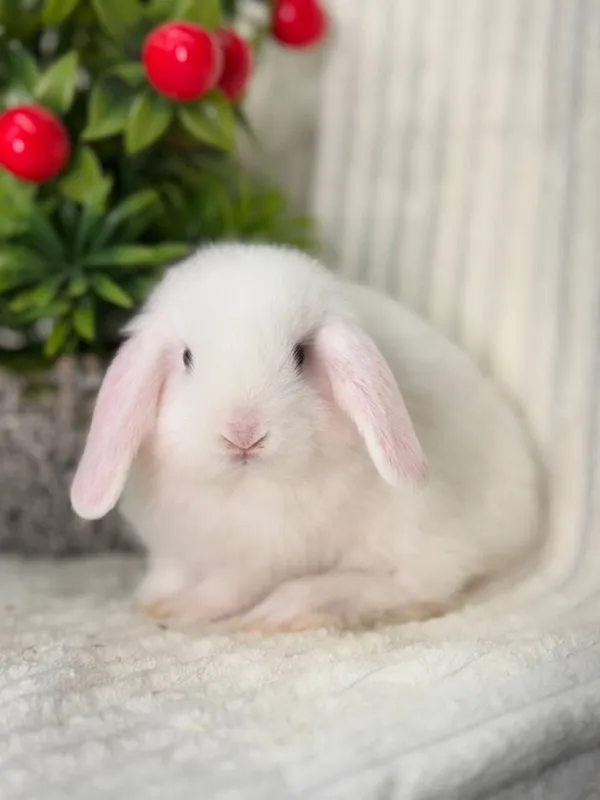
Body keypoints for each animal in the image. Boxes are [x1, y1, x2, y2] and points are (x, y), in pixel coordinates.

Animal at [70, 243, 542, 633]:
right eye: (187, 358)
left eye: (300, 355)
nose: (243, 433)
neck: (239, 489)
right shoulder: (177, 549)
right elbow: (171, 576)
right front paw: (151, 601)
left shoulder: (256, 562)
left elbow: (224, 590)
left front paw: (182, 610)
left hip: (415, 538)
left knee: (411, 587)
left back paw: (288, 609)